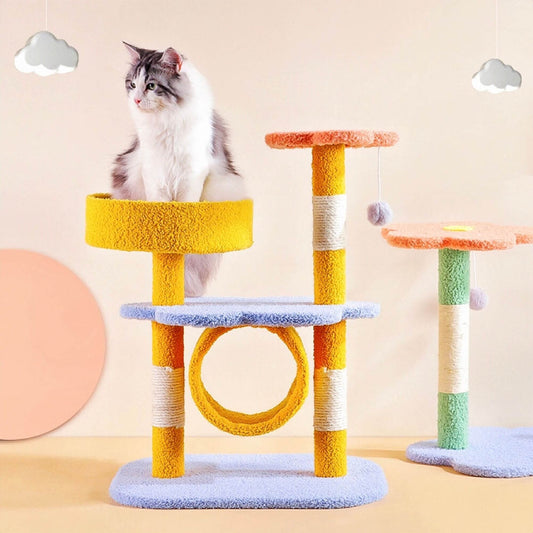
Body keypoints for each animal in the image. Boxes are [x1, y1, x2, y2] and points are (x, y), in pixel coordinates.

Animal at [112, 42, 247, 296]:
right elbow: (160, 204)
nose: (136, 100)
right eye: (132, 84)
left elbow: (185, 205)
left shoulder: (191, 172)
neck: (165, 121)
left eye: (151, 86)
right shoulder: (153, 170)